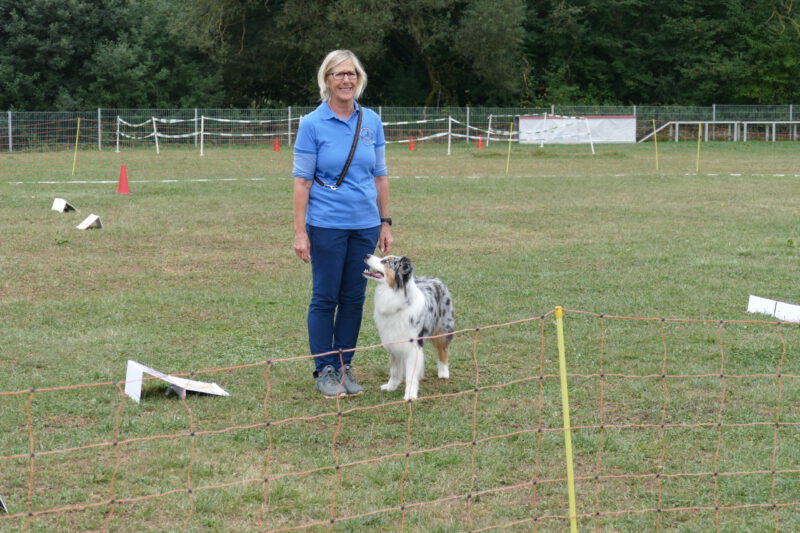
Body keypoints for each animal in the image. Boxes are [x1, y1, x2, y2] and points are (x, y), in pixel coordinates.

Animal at [363, 254, 455, 400]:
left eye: (385, 261)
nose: (367, 255)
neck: (395, 297)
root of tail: (437, 279)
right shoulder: (393, 342)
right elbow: (394, 370)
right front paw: (391, 386)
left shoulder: (412, 347)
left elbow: (411, 373)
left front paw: (410, 394)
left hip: (443, 329)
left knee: (443, 350)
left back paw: (444, 372)